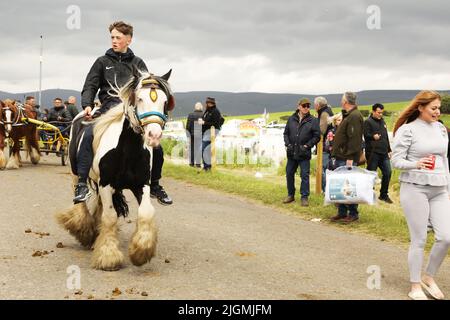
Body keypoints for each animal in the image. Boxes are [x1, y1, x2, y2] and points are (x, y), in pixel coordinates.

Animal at [55, 69, 174, 270]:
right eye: (139, 98)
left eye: (165, 101)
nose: (154, 135)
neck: (127, 149)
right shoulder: (105, 184)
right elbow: (110, 216)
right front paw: (108, 256)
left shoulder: (141, 184)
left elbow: (145, 212)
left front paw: (141, 252)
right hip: (75, 173)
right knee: (80, 199)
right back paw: (84, 230)